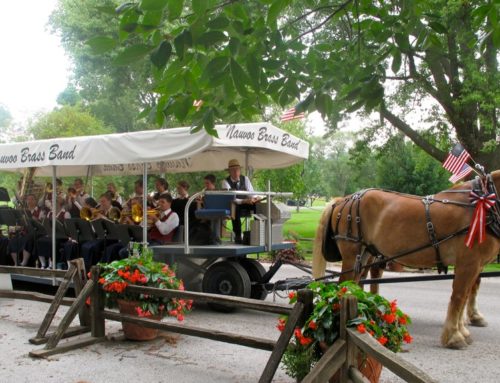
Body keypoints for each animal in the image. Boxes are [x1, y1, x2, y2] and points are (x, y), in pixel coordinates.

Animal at [312, 170, 500, 350]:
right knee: (343, 286)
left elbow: (466, 294)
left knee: (354, 285)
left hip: (364, 255)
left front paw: (463, 331)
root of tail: (343, 200)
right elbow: (459, 297)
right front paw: (454, 337)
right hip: (352, 255)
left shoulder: (474, 265)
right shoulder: (468, 263)